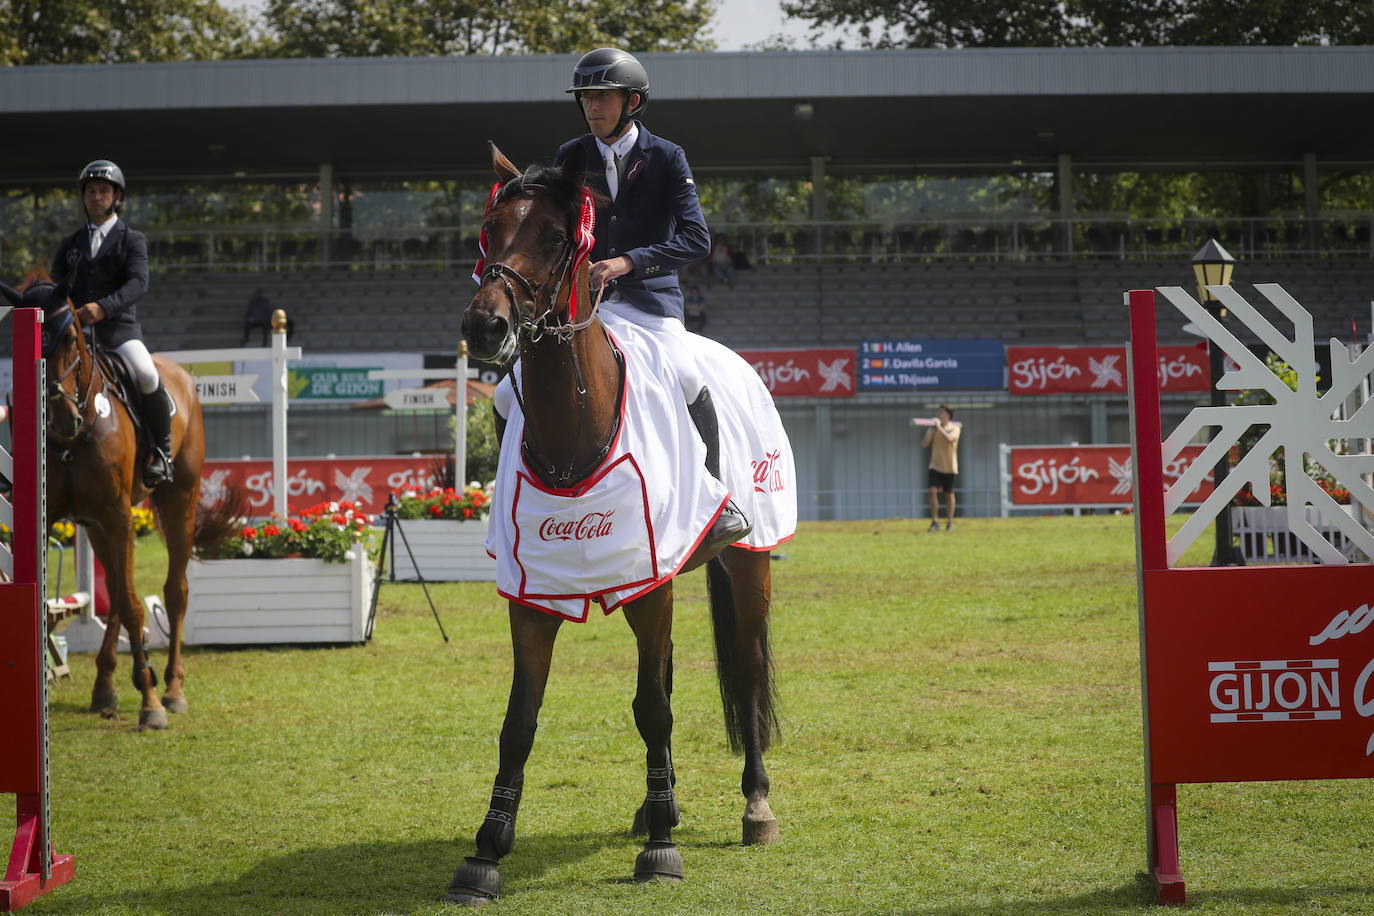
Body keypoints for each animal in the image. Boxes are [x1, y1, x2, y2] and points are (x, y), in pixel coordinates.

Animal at [3, 271, 219, 730]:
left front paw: (151, 704)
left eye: (71, 338)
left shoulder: (120, 517)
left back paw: (171, 688)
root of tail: (182, 375)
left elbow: (136, 606)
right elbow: (91, 599)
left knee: (173, 592)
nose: (62, 421)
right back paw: (106, 686)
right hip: (95, 525)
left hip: (178, 501)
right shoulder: (65, 519)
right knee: (119, 589)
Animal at [445, 146, 780, 906]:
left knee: (746, 669)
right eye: (490, 231)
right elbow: (519, 721)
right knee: (673, 674)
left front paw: (660, 851)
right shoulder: (535, 595)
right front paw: (486, 852)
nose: (485, 328)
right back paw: (666, 803)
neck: (574, 429)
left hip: (748, 559)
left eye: (554, 237)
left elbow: (651, 708)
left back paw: (755, 805)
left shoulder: (651, 586)